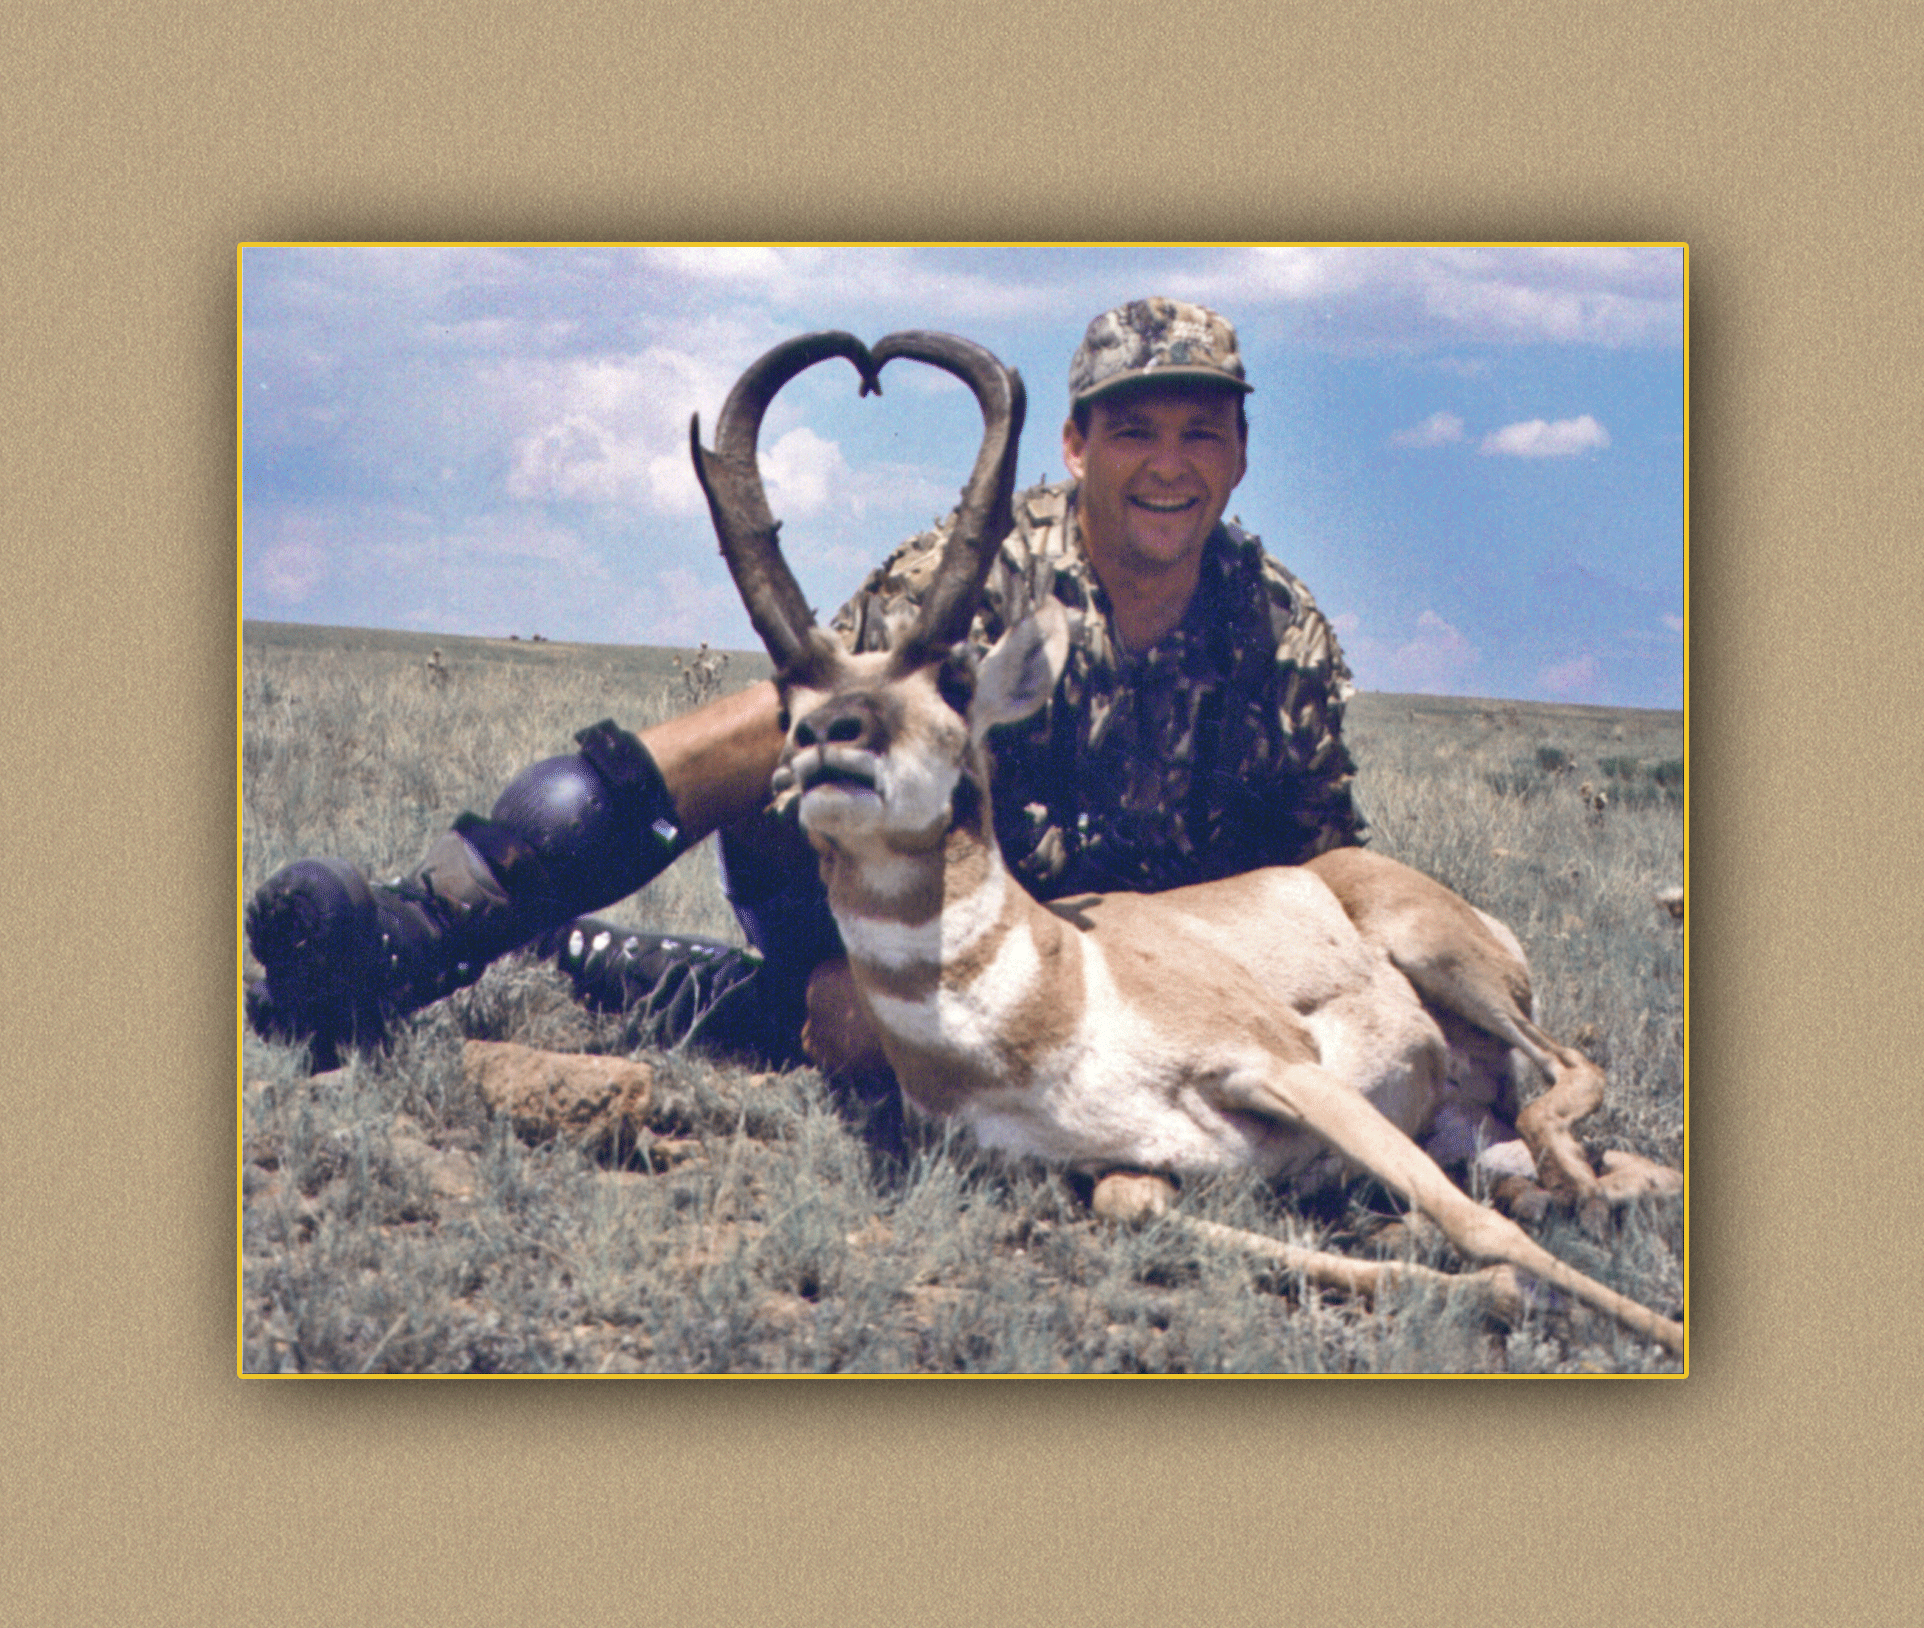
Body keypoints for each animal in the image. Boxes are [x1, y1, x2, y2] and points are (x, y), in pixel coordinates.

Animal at [689, 329, 1685, 1358]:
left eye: (955, 686)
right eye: (786, 703)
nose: (829, 738)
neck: (1053, 996)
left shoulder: (1288, 1069)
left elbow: (1474, 1226)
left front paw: (1641, 1321)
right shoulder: (1106, 1171)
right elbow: (1140, 1208)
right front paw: (1507, 1295)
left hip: (1441, 957)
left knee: (1568, 1076)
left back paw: (1575, 1186)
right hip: (1469, 1118)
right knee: (1584, 1157)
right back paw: (1574, 1190)